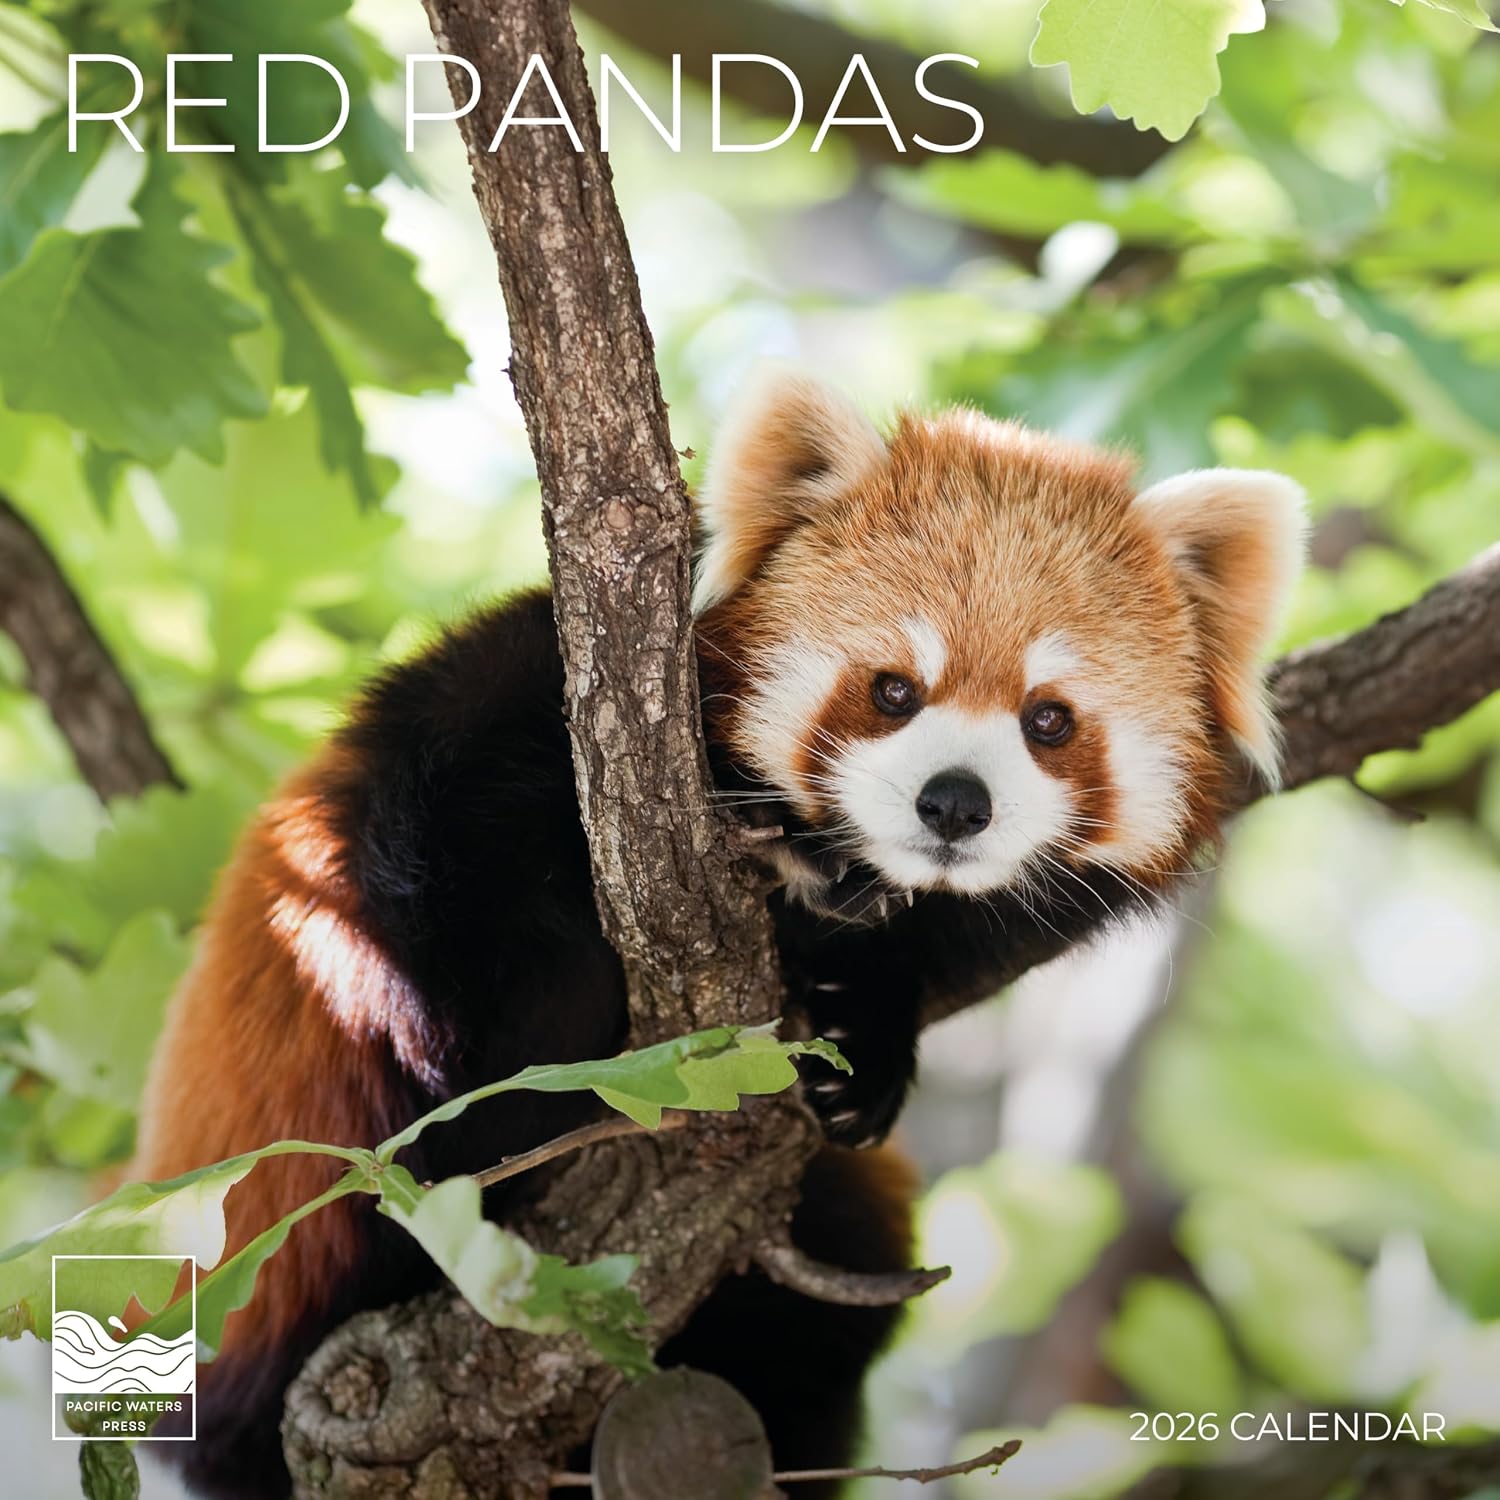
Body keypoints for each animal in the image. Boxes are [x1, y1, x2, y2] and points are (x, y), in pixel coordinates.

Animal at [133, 371, 1305, 1497]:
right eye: (893, 691)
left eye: (1048, 720)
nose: (955, 802)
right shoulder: (486, 729)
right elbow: (463, 874)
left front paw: (867, 1035)